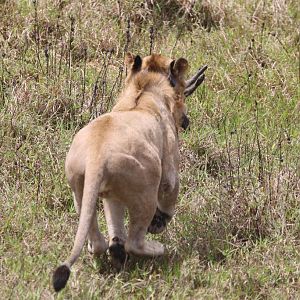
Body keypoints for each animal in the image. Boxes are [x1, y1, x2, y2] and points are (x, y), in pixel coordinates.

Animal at [52, 53, 206, 290]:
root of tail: (97, 156)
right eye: (180, 94)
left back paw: (112, 252)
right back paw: (157, 247)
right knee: (135, 242)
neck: (143, 89)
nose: (186, 121)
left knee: (101, 240)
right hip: (146, 187)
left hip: (83, 189)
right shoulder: (170, 165)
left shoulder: (110, 195)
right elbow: (171, 192)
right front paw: (159, 224)